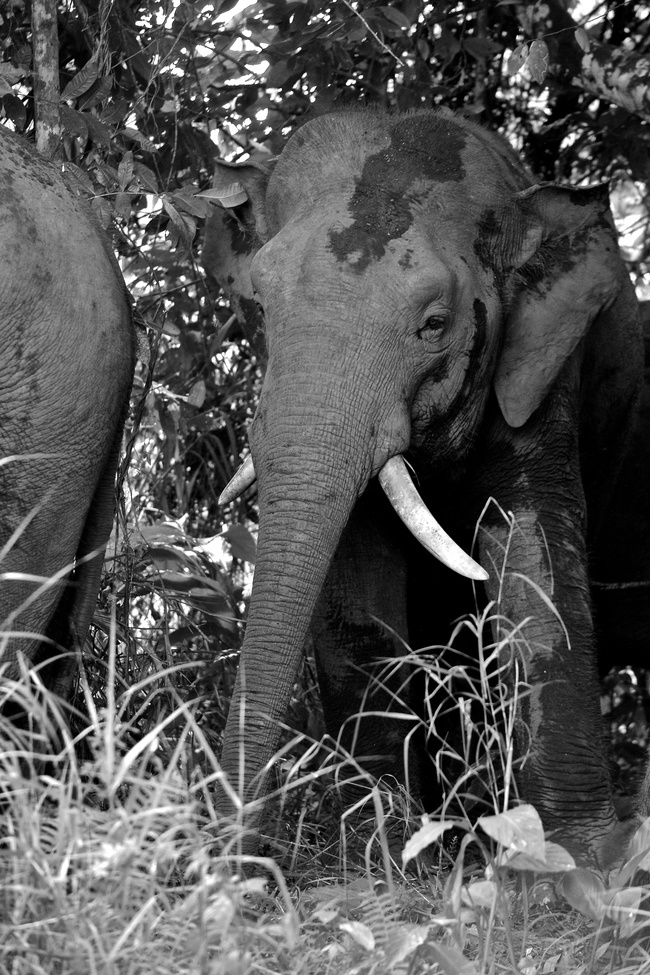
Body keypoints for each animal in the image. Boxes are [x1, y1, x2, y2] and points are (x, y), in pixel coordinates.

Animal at [211, 108, 645, 869]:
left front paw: (576, 865)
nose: (235, 863)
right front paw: (378, 859)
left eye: (436, 324)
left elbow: (533, 561)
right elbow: (358, 583)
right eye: (261, 306)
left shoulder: (542, 377)